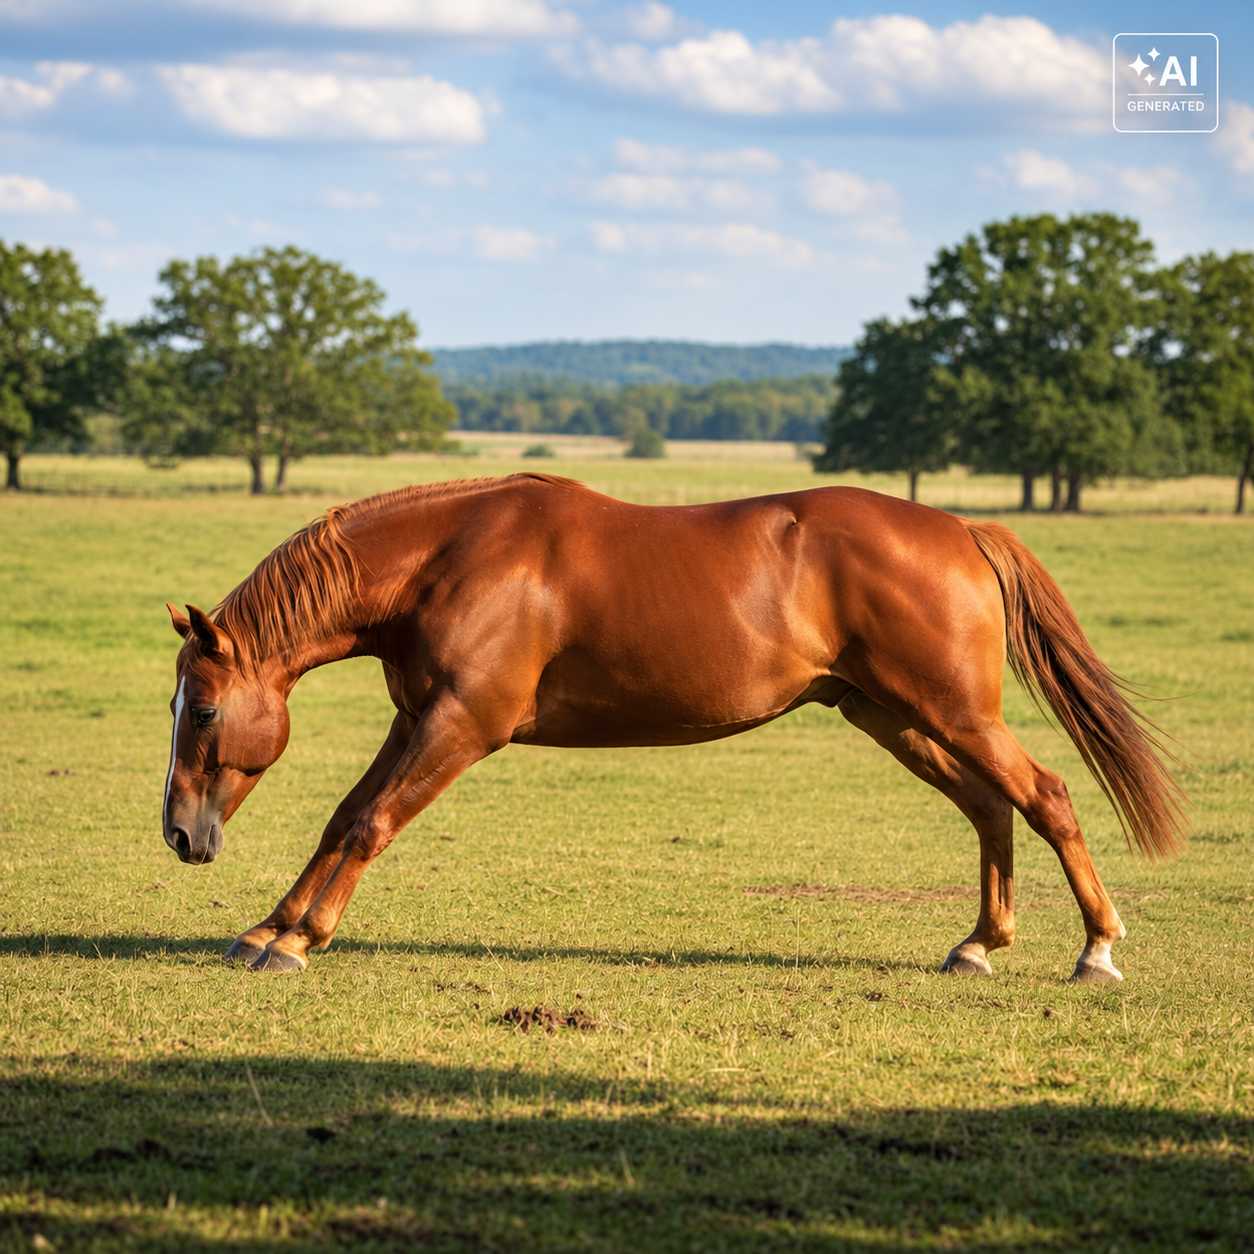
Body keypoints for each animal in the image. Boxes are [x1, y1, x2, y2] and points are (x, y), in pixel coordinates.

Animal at [161, 473, 1183, 981]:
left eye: (202, 708)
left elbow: (369, 824)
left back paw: (1096, 949)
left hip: (949, 715)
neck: (451, 558)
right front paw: (269, 928)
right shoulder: (417, 718)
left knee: (1046, 796)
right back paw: (979, 943)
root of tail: (962, 530)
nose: (179, 834)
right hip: (897, 719)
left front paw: (297, 941)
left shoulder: (459, 726)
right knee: (991, 807)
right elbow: (343, 817)